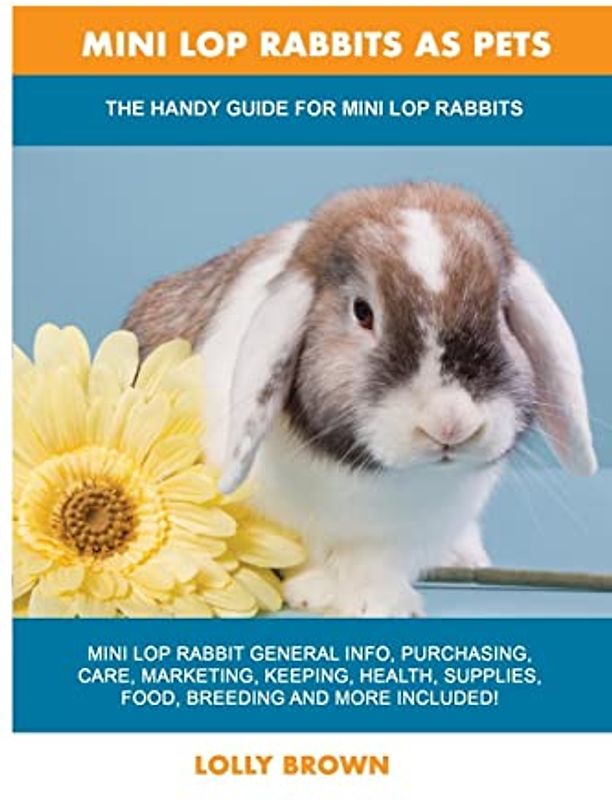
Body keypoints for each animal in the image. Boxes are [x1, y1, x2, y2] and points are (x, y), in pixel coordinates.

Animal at [124, 182, 597, 617]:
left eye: (500, 313)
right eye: (362, 312)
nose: (450, 423)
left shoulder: (403, 536)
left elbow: (376, 564)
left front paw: (383, 602)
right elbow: (308, 553)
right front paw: (316, 593)